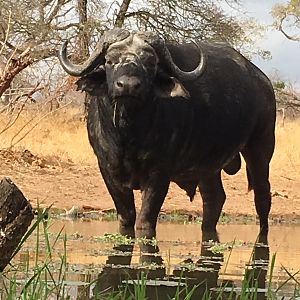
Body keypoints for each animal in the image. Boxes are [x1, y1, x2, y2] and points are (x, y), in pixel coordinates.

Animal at [57, 29, 276, 238]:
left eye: (150, 63)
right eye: (110, 61)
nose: (128, 85)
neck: (128, 135)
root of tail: (263, 82)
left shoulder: (159, 174)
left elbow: (145, 222)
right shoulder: (109, 171)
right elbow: (126, 219)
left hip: (261, 148)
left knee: (262, 196)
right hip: (208, 166)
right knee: (214, 198)